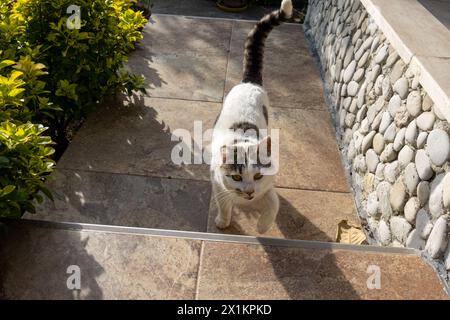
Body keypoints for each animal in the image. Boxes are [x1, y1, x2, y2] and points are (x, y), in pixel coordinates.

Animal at [210, 0, 294, 232]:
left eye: (257, 175)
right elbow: (223, 202)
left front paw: (263, 227)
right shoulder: (218, 182)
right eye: (237, 176)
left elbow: (274, 203)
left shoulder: (267, 186)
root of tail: (249, 82)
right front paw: (223, 221)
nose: (248, 192)